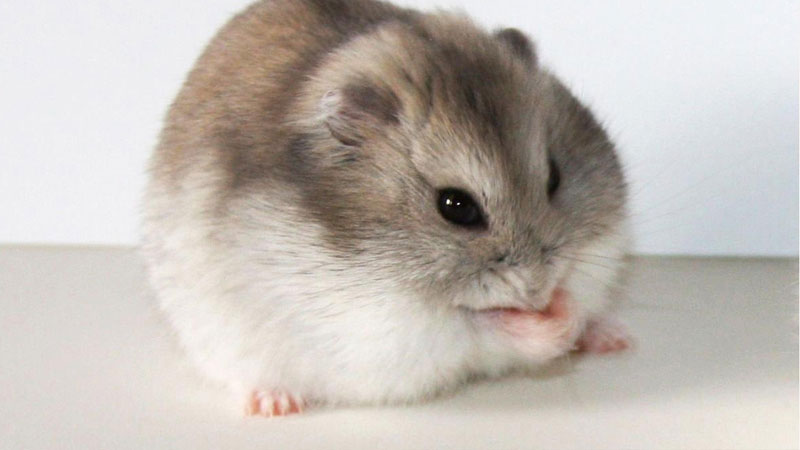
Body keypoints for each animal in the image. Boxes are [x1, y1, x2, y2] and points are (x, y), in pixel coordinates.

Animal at [141, 0, 631, 416]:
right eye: (456, 206)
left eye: (554, 177)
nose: (537, 290)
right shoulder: (392, 329)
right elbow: (480, 328)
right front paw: (552, 319)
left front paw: (568, 309)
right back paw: (273, 404)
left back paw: (614, 338)